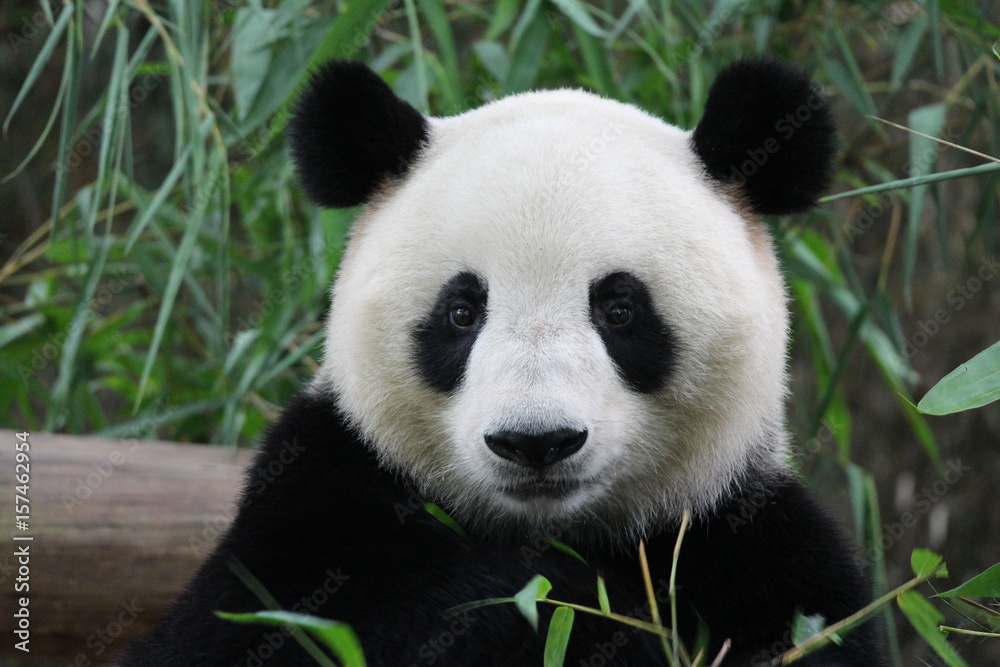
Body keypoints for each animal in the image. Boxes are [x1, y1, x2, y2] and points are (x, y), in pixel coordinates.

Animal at [120, 59, 884, 666]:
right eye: (462, 311)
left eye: (619, 310)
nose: (536, 441)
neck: (550, 532)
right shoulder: (316, 509)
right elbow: (249, 630)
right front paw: (534, 609)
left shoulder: (745, 542)